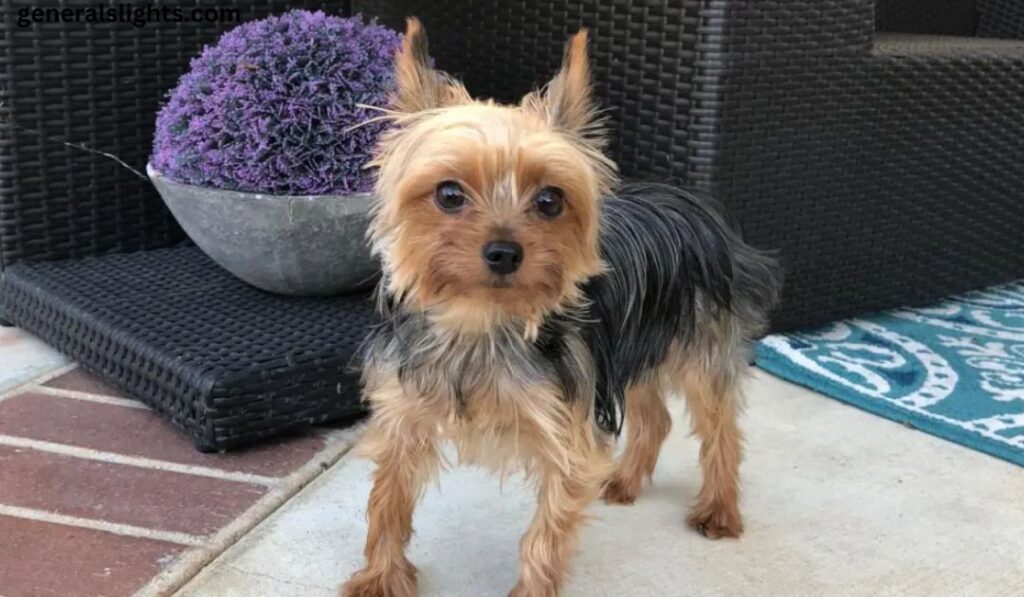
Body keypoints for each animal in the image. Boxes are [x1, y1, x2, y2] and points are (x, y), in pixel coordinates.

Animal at [339, 17, 778, 597]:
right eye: (449, 194)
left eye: (549, 200)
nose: (504, 252)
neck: (482, 325)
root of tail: (695, 204)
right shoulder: (403, 413)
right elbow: (386, 502)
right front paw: (379, 579)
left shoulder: (566, 430)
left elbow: (544, 535)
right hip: (633, 348)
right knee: (655, 418)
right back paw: (625, 480)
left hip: (699, 347)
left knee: (720, 427)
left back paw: (720, 509)